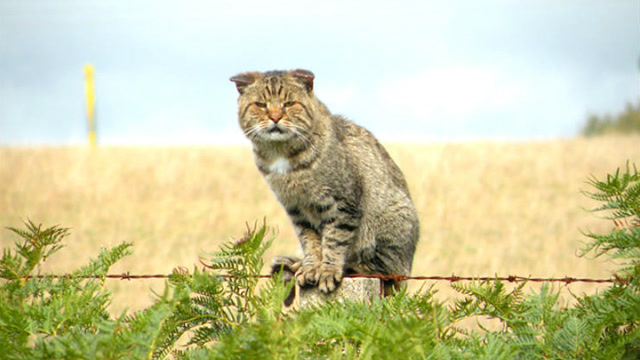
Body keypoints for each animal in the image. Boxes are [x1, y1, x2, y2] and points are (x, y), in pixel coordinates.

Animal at [231, 69, 420, 296]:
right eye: (260, 104)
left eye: (288, 103)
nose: (275, 117)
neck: (282, 155)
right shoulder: (297, 210)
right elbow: (310, 242)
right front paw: (311, 267)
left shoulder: (343, 205)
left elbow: (334, 240)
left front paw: (328, 270)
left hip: (391, 223)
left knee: (384, 270)